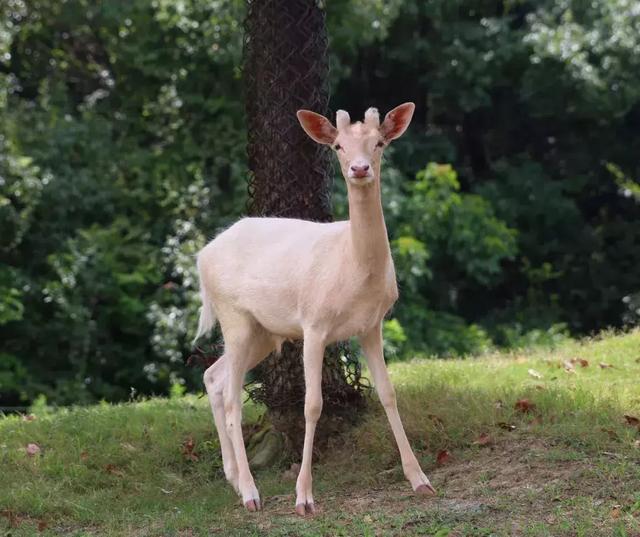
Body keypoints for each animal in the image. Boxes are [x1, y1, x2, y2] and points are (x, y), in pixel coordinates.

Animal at [195, 101, 436, 516]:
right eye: (338, 146)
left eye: (379, 142)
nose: (360, 168)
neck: (353, 267)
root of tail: (200, 256)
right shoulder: (313, 324)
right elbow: (312, 405)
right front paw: (304, 498)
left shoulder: (372, 325)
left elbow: (388, 393)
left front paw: (420, 479)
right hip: (233, 316)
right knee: (231, 399)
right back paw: (250, 493)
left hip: (264, 330)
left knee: (215, 377)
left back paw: (233, 478)